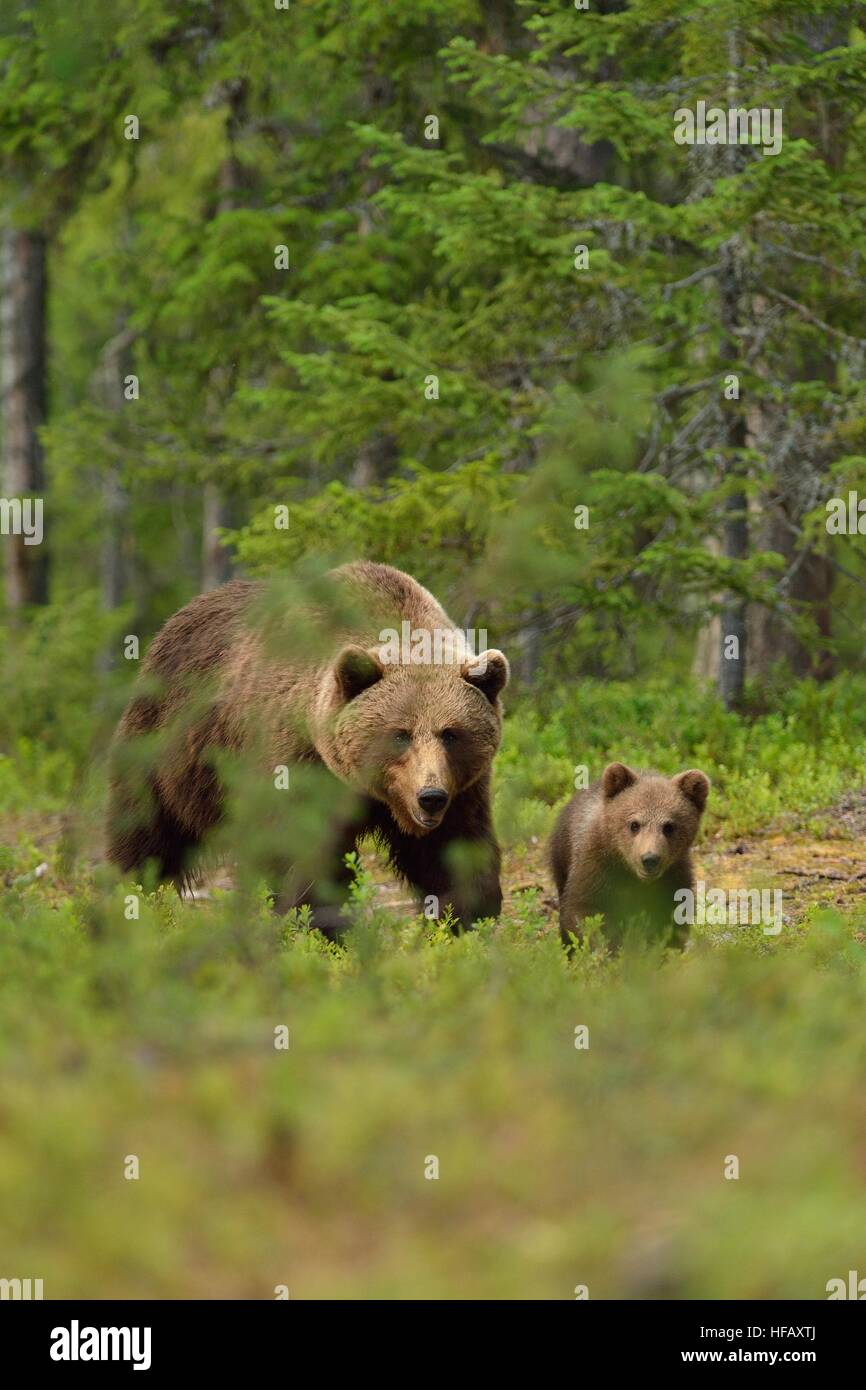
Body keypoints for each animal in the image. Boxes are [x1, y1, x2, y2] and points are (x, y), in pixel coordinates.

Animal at [107, 558, 508, 939]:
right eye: (401, 734)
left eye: (450, 733)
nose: (430, 797)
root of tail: (178, 615)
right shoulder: (297, 763)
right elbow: (307, 857)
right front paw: (329, 929)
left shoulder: (462, 789)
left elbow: (455, 852)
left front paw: (465, 921)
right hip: (171, 748)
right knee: (146, 831)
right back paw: (133, 899)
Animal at [547, 767, 711, 950]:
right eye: (634, 824)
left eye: (669, 827)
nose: (650, 859)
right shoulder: (595, 866)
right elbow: (584, 911)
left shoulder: (674, 876)